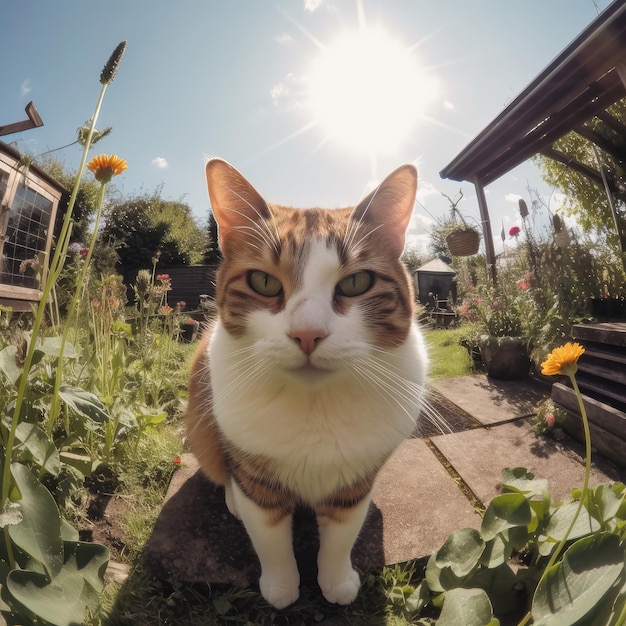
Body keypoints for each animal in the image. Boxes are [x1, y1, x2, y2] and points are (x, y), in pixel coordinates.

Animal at [185, 158, 426, 608]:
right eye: (263, 282)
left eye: (356, 282)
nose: (308, 334)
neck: (315, 405)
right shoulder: (256, 476)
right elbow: (269, 539)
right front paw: (281, 588)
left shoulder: (354, 480)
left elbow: (341, 536)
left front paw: (336, 581)